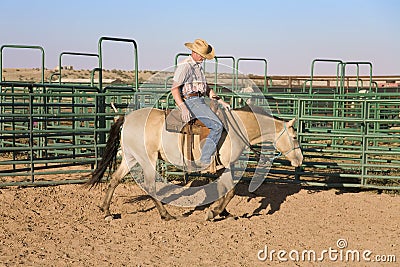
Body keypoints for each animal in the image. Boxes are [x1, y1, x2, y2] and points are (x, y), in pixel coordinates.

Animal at [86, 104, 302, 222]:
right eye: (294, 137)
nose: (299, 160)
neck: (238, 128)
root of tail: (127, 117)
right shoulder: (228, 165)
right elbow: (230, 191)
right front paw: (214, 212)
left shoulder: (223, 167)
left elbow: (224, 190)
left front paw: (222, 212)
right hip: (147, 159)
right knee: (150, 186)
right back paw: (166, 215)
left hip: (131, 157)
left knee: (114, 180)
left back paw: (106, 211)